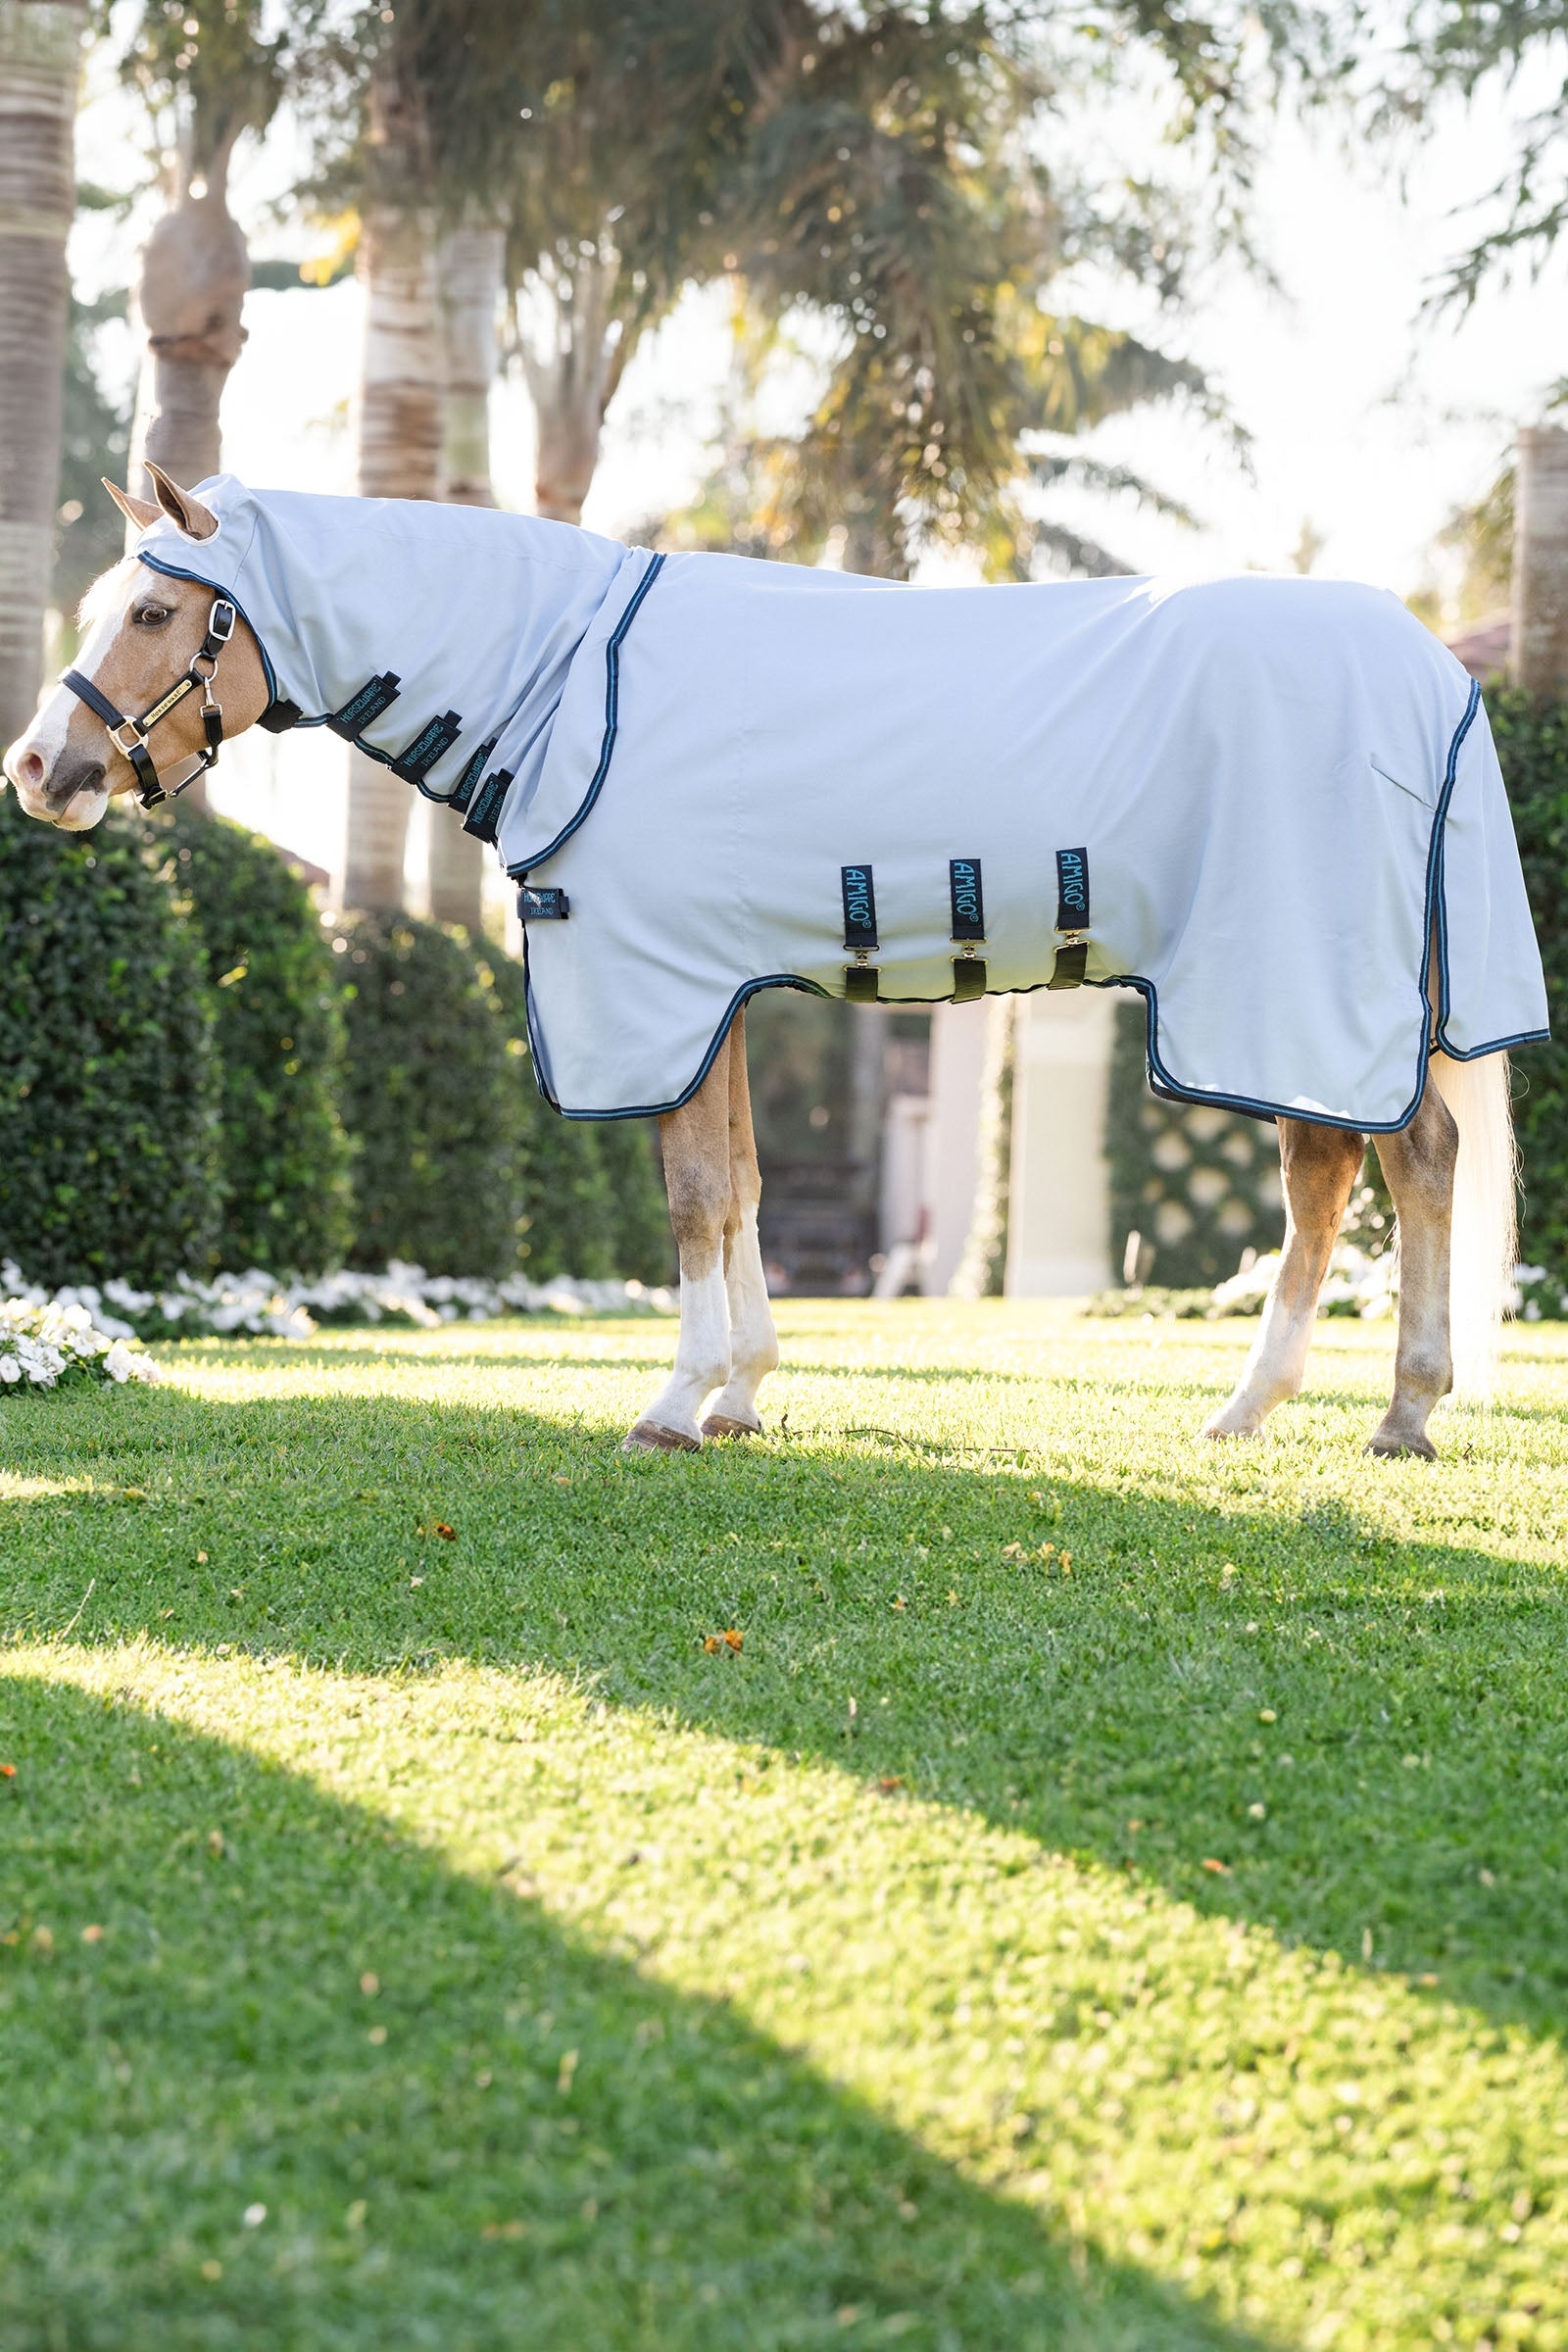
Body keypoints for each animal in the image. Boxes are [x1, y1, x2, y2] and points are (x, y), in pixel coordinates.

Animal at [3, 464, 1544, 1461]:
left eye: (153, 613)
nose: (39, 769)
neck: (575, 679)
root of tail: (1433, 670)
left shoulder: (660, 990)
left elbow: (690, 1199)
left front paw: (673, 1408)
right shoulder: (718, 994)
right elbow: (738, 1185)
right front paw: (742, 1394)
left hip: (1287, 982)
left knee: (1371, 1169)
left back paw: (1378, 1410)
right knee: (1363, 1173)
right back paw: (1302, 1411)